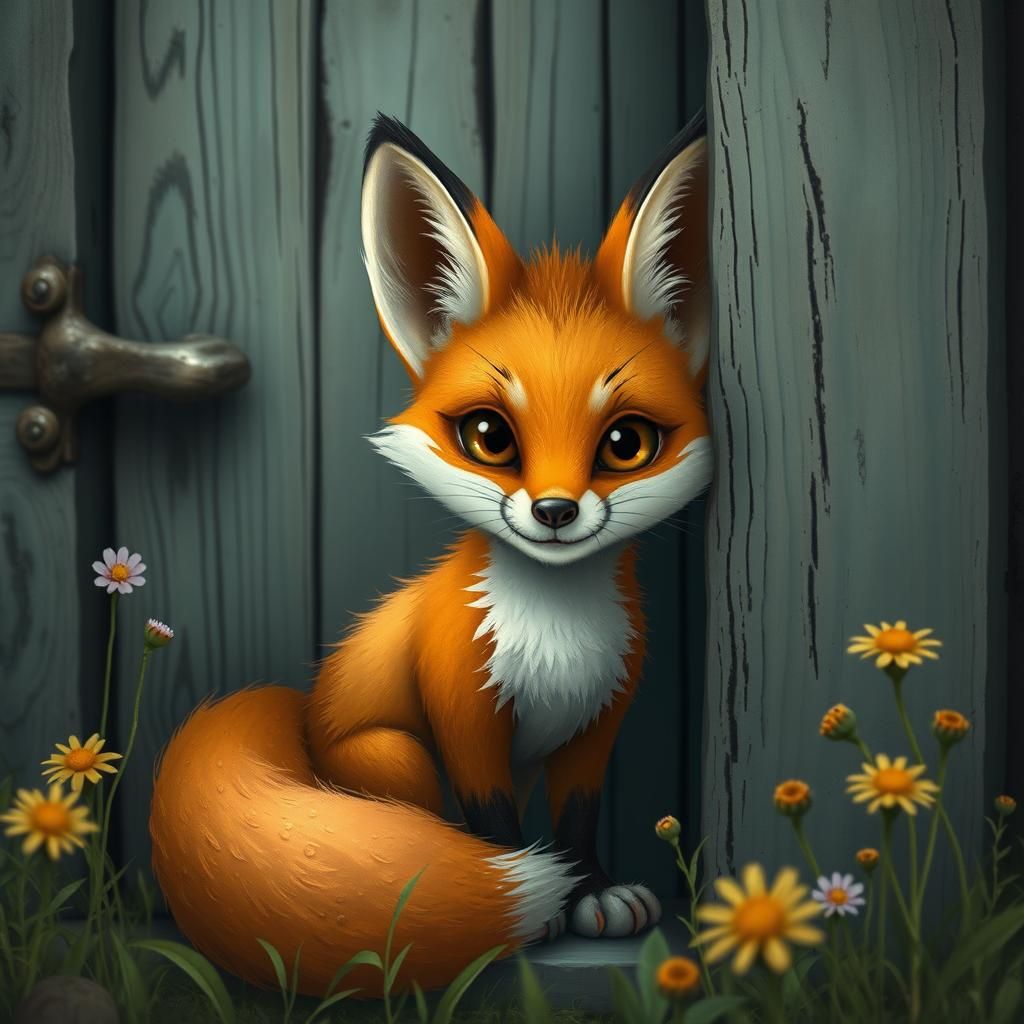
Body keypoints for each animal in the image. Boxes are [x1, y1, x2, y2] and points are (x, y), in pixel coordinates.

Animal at [149, 109, 712, 998]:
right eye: (490, 436)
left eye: (626, 443)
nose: (554, 512)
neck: (556, 637)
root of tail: (301, 712)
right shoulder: (463, 711)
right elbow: (495, 820)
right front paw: (529, 898)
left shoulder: (599, 721)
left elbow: (578, 815)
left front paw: (590, 889)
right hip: (396, 754)